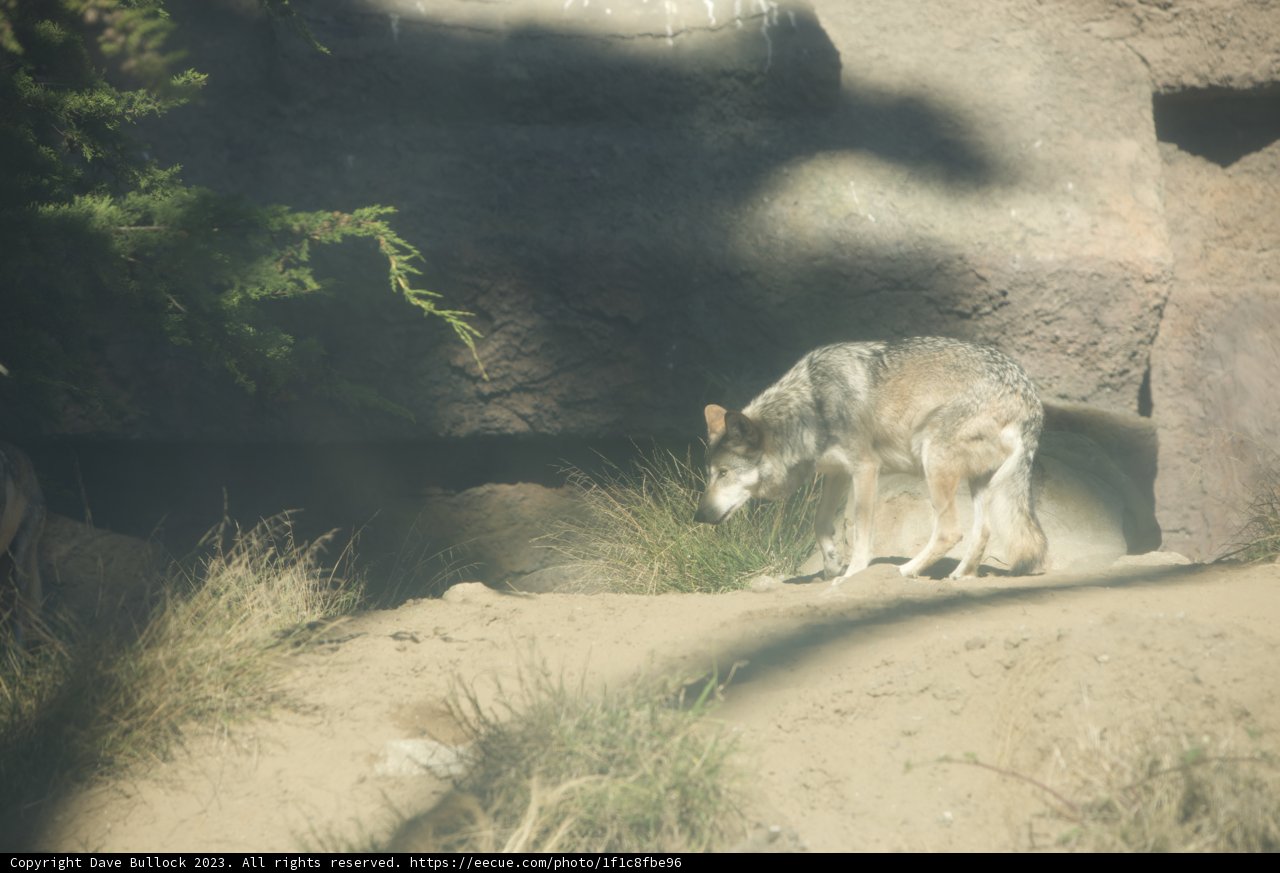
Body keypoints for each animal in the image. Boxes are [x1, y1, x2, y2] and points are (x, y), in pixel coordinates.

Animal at [694, 337, 1048, 582]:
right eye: (710, 474)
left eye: (724, 473)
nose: (698, 516)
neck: (811, 407)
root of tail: (1031, 399)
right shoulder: (836, 473)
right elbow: (820, 523)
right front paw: (832, 565)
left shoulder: (865, 468)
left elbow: (862, 533)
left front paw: (852, 575)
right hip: (978, 482)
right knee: (982, 532)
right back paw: (960, 576)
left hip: (933, 460)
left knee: (950, 531)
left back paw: (906, 571)